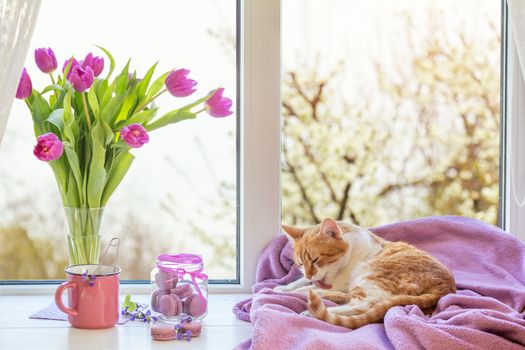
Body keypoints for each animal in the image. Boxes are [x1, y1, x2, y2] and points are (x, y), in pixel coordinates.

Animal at [278, 217, 454, 330]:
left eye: (315, 260)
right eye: (301, 263)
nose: (309, 275)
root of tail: (446, 286)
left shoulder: (338, 283)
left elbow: (306, 287)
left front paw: (294, 291)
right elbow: (299, 282)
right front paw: (283, 288)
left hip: (369, 275)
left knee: (363, 307)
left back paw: (311, 311)